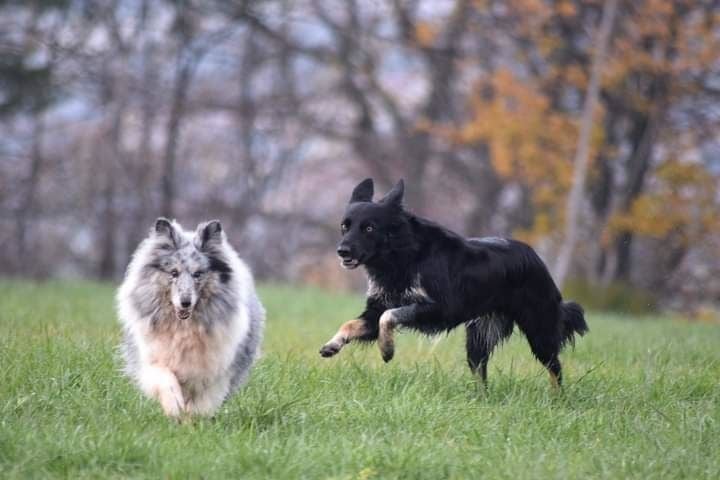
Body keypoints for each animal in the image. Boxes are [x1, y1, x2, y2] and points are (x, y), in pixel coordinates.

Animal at [118, 218, 264, 416]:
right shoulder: (152, 360)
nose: (185, 302)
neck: (184, 329)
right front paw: (174, 406)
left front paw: (192, 420)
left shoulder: (213, 371)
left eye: (198, 274)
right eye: (174, 273)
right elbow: (165, 379)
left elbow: (200, 403)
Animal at [318, 179, 588, 386]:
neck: (402, 255)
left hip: (539, 331)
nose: (342, 251)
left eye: (369, 228)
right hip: (478, 337)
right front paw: (332, 344)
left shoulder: (440, 308)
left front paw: (387, 350)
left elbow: (390, 316)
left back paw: (557, 400)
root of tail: (536, 257)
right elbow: (352, 323)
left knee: (555, 367)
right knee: (481, 372)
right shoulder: (377, 310)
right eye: (345, 226)